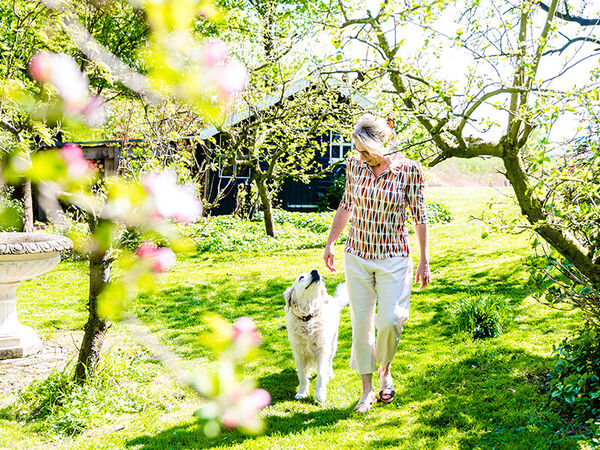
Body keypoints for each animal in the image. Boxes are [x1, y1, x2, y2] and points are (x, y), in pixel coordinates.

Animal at [284, 268, 350, 402]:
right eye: (301, 277)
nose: (315, 271)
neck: (308, 318)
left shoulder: (322, 350)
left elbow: (321, 374)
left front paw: (320, 394)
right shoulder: (299, 352)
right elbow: (302, 375)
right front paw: (302, 392)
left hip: (332, 344)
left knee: (329, 362)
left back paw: (330, 373)